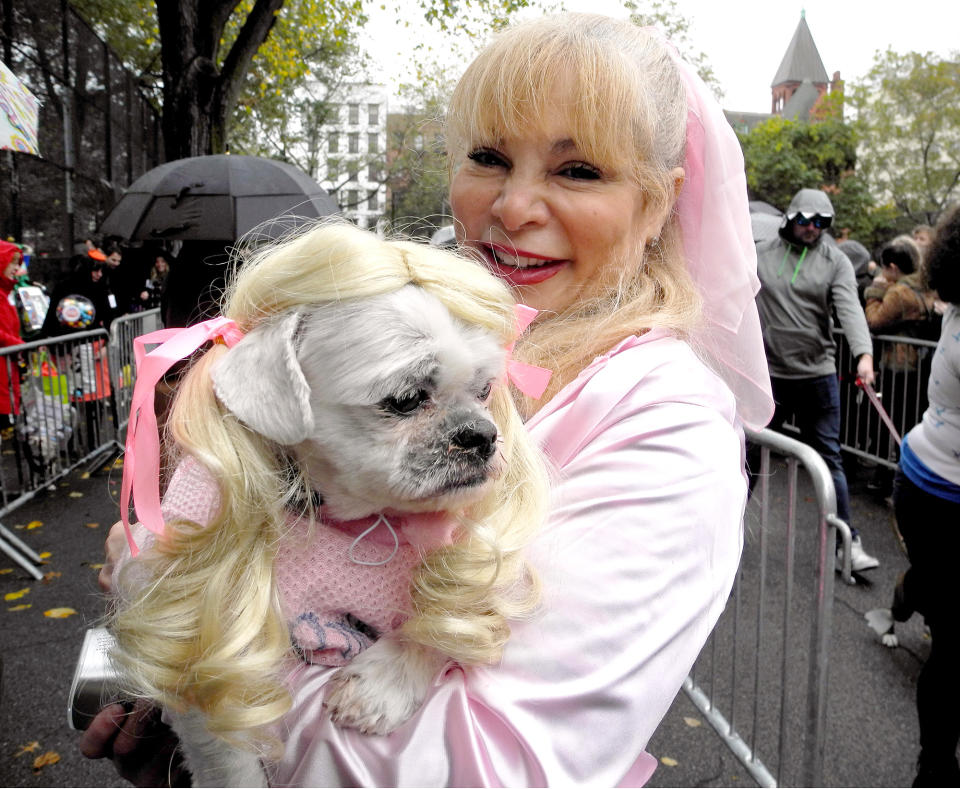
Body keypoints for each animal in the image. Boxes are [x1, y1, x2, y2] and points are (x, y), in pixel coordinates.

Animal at [109, 220, 552, 780]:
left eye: (484, 391)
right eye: (406, 399)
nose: (482, 435)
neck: (353, 519)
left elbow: (447, 622)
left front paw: (381, 683)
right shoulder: (197, 645)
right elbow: (228, 754)